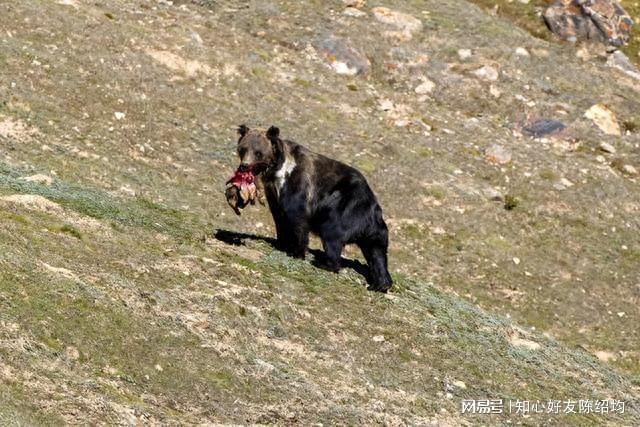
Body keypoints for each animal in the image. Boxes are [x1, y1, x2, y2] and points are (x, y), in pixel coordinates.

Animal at [235, 123, 392, 290]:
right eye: (242, 149)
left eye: (258, 152)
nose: (244, 166)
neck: (276, 171)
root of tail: (374, 210)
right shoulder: (272, 192)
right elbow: (279, 216)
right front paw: (281, 243)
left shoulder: (298, 183)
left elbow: (296, 216)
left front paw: (297, 252)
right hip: (373, 231)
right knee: (376, 253)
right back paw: (380, 284)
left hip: (345, 209)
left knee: (332, 234)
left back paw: (324, 263)